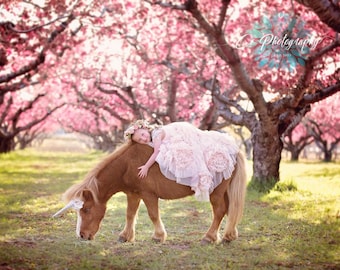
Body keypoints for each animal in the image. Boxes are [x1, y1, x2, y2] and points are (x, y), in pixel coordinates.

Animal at [54, 140, 248, 244]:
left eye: (86, 210)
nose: (82, 235)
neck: (128, 163)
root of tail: (232, 150)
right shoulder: (133, 194)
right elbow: (130, 214)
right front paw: (125, 236)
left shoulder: (148, 195)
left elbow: (153, 215)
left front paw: (158, 236)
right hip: (224, 192)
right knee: (229, 210)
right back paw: (229, 236)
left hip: (216, 193)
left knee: (219, 211)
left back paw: (209, 237)